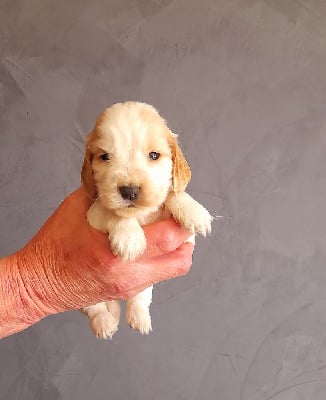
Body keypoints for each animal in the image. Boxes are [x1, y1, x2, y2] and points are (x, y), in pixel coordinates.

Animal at [80, 101, 210, 340]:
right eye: (104, 157)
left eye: (154, 155)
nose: (129, 191)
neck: (138, 215)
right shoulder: (93, 212)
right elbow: (113, 212)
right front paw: (129, 239)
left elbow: (171, 194)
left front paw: (194, 212)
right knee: (96, 308)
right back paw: (105, 323)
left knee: (139, 298)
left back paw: (139, 319)